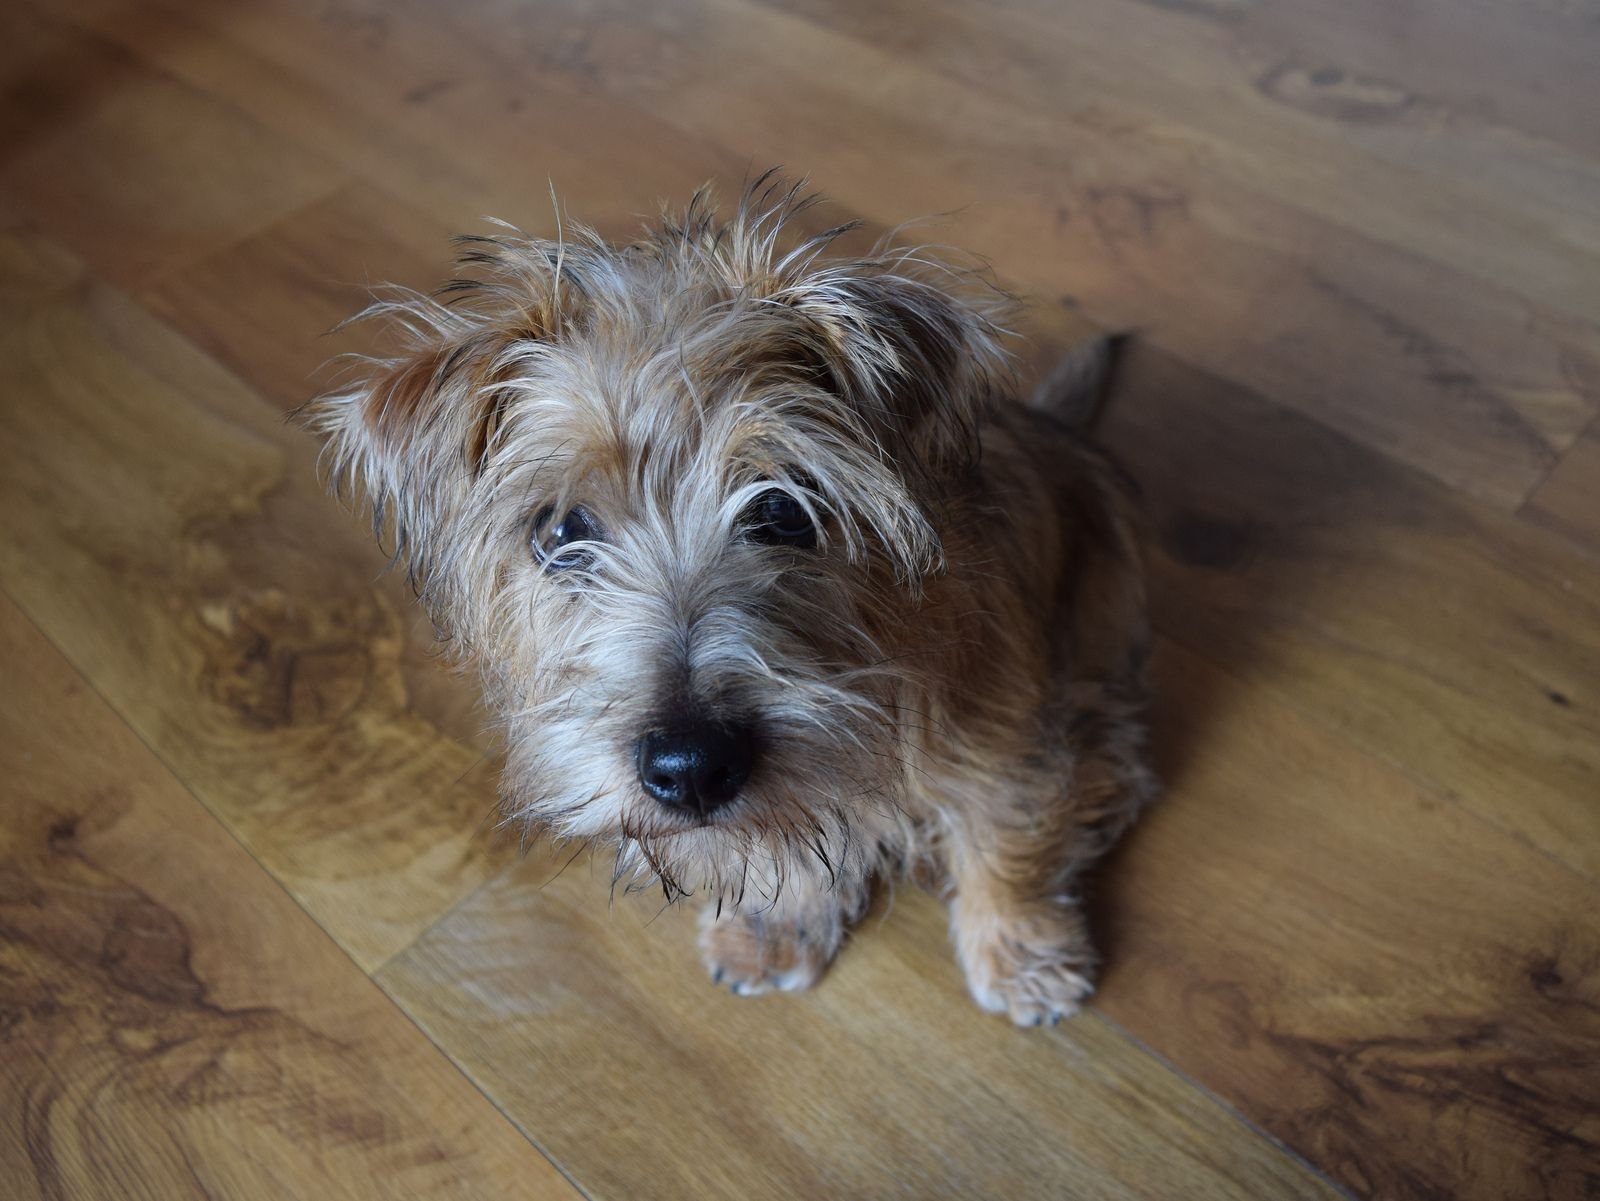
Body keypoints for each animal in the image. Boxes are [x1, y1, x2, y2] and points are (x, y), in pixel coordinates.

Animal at [304, 176, 1155, 1026]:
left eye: (783, 509)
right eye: (561, 531)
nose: (690, 766)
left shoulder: (1003, 741)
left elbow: (1004, 839)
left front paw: (1021, 953)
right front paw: (776, 923)